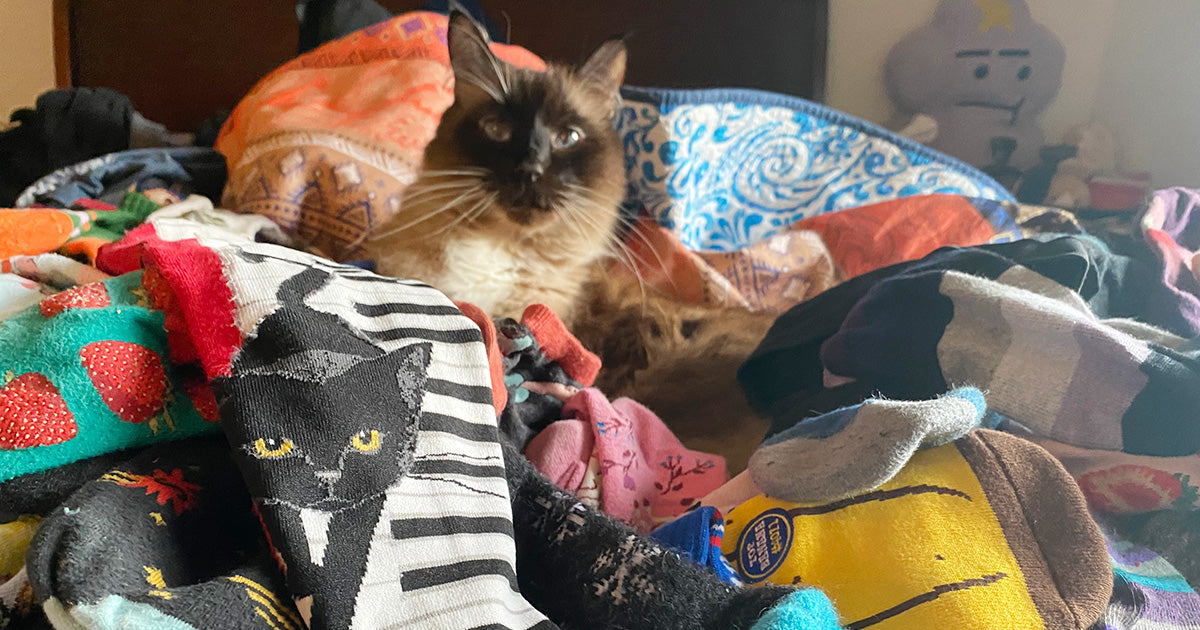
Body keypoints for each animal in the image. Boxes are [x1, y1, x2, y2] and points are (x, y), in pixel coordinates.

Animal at [217, 265, 432, 628]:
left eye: (366, 439)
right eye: (272, 445)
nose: (328, 476)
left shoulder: (368, 496)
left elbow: (347, 554)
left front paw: (332, 598)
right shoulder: (273, 498)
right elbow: (292, 539)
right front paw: (310, 585)